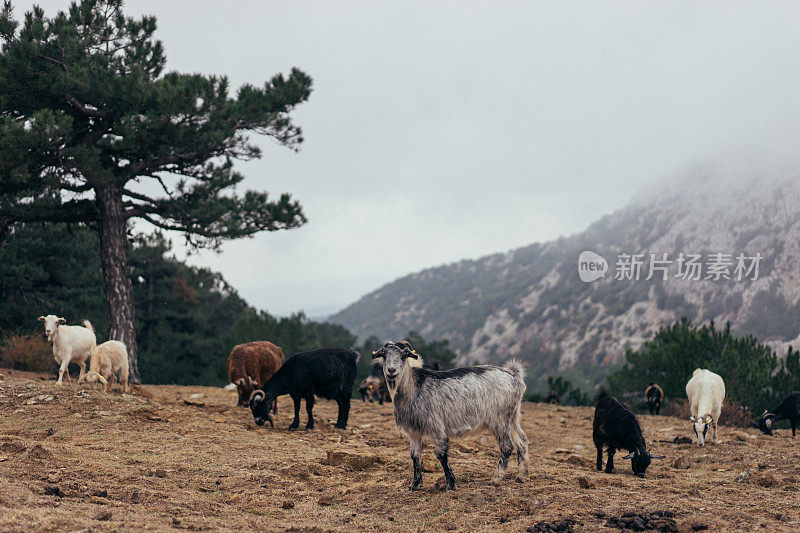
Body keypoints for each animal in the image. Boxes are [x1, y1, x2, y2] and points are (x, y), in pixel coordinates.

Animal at [372, 340, 528, 490]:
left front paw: (451, 483)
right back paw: (520, 477)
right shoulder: (414, 432)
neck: (413, 388)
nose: (391, 371)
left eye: (403, 356)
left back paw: (495, 479)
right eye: (384, 355)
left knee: (507, 446)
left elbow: (441, 454)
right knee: (521, 442)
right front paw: (415, 484)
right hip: (512, 417)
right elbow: (415, 456)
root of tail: (514, 375)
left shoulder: (436, 426)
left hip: (499, 418)